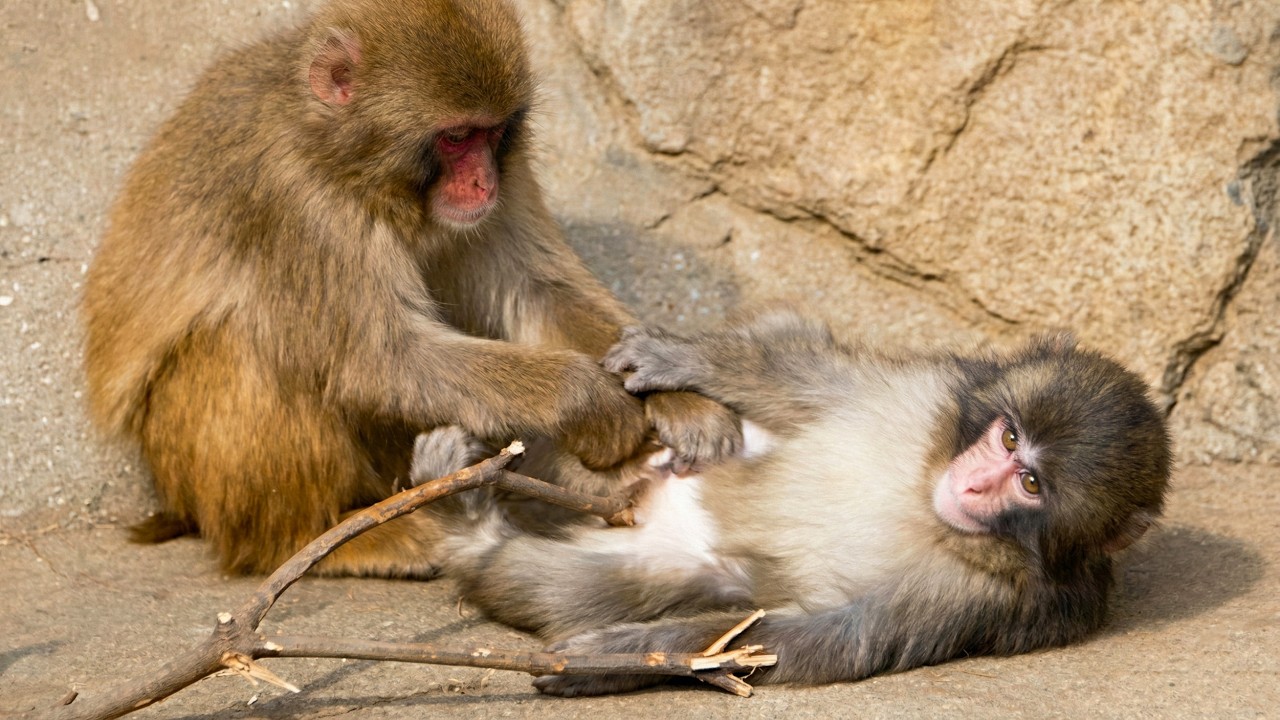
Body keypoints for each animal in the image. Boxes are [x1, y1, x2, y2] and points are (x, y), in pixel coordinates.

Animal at [79, 0, 740, 578]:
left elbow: (537, 293)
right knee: (247, 347)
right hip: (183, 463)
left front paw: (678, 393)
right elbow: (380, 357)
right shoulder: (294, 199)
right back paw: (304, 543)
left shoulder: (512, 171)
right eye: (455, 138)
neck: (344, 157)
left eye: (492, 133)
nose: (482, 183)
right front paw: (592, 403)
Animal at [417, 310, 1172, 695]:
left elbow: (826, 637)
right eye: (1009, 436)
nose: (975, 482)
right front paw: (683, 356)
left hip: (672, 549)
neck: (929, 497)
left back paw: (472, 536)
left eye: (1032, 484)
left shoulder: (996, 601)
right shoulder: (935, 387)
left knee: (600, 586)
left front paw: (620, 656)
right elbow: (811, 377)